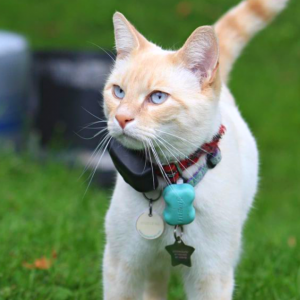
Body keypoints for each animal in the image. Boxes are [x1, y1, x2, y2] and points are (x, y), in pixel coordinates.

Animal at [102, 1, 288, 298]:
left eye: (157, 98)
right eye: (118, 92)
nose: (121, 118)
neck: (170, 182)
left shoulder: (211, 276)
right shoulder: (122, 266)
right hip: (150, 266)